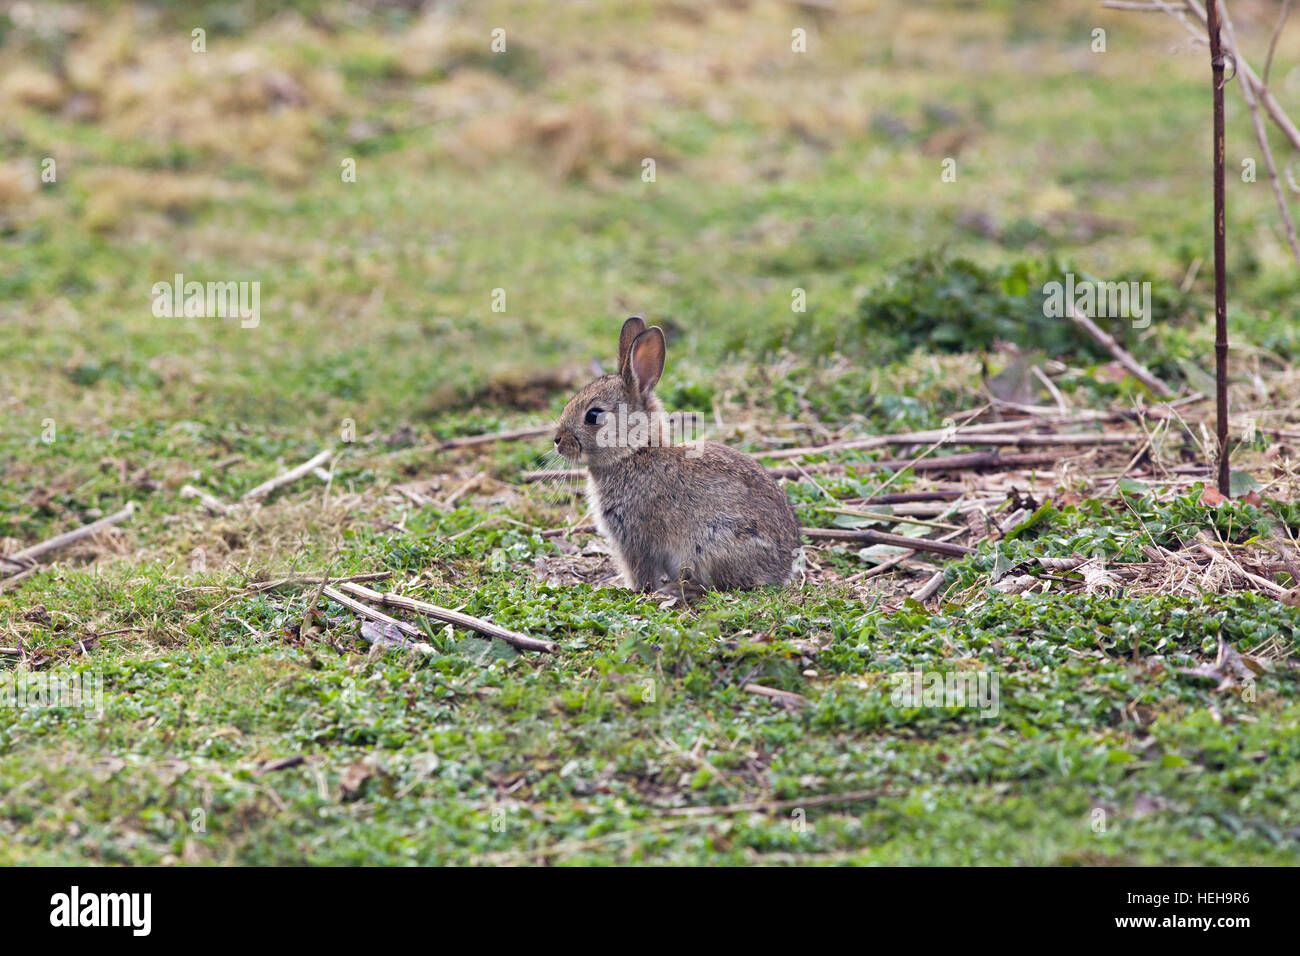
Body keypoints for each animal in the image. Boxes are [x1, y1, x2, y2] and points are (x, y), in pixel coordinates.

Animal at [551, 317, 795, 595]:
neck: (634, 453)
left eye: (593, 415)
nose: (557, 441)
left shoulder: (634, 538)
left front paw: (633, 590)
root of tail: (782, 568)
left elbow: (640, 570)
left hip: (714, 543)